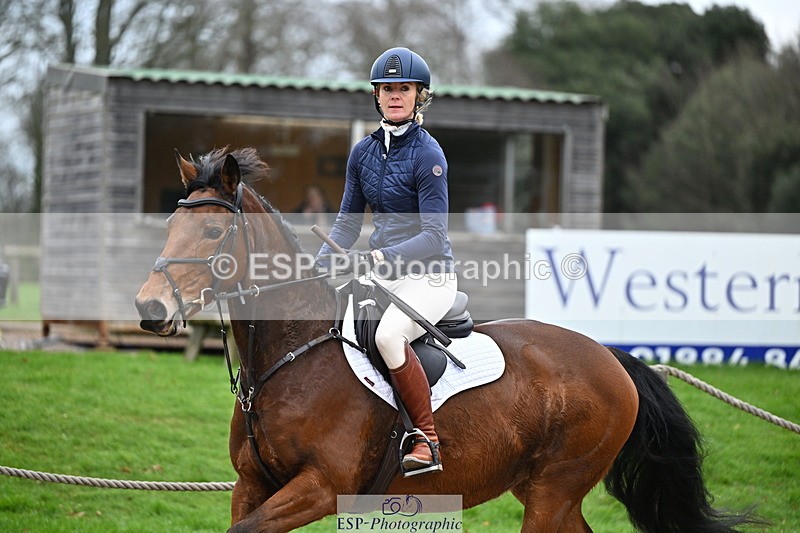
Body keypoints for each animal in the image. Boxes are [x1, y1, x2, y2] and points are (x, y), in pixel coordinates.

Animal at [135, 147, 754, 533]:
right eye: (169, 225)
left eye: (212, 230)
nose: (149, 308)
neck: (290, 356)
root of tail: (611, 359)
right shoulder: (252, 485)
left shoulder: (320, 487)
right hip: (541, 489)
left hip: (553, 491)